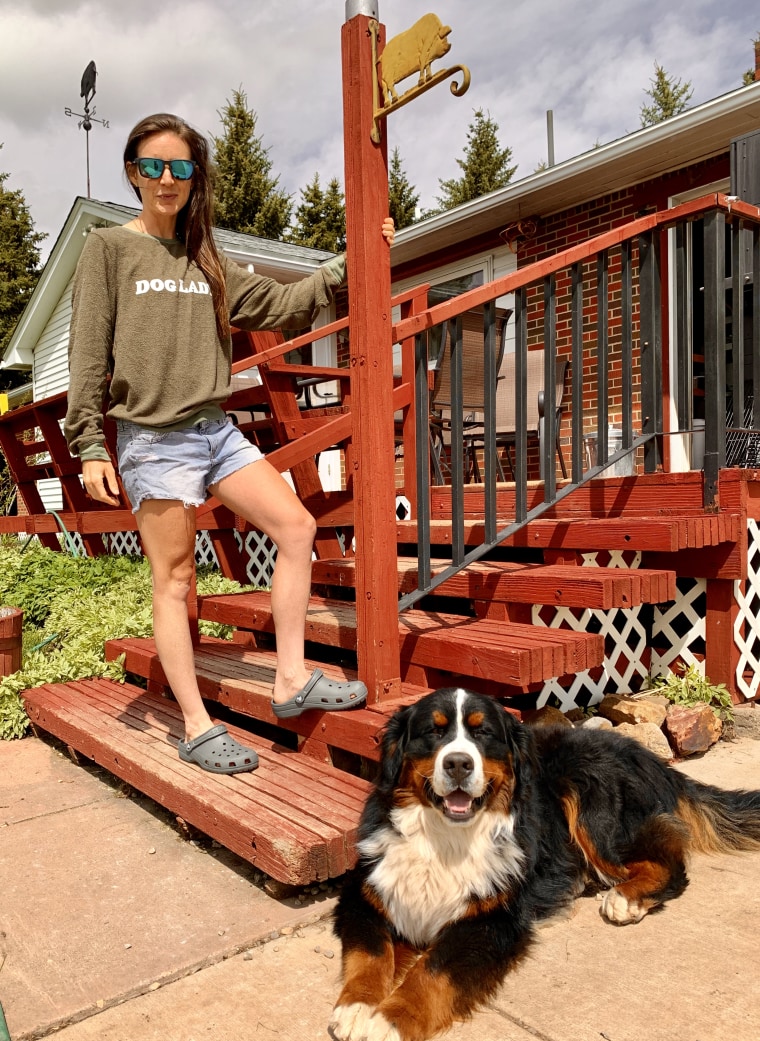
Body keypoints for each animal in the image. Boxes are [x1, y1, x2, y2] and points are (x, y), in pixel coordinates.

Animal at [328, 687, 757, 1036]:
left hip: (588, 796)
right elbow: (371, 954)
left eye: (483, 734)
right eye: (433, 732)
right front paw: (356, 1008)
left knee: (667, 861)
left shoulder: (491, 920)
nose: (458, 764)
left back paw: (626, 899)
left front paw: (389, 1020)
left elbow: (432, 970)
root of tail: (649, 756)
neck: (445, 839)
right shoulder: (365, 894)